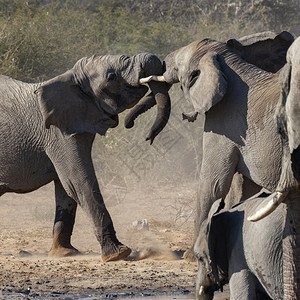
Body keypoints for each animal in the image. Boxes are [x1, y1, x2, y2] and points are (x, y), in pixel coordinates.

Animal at [0, 52, 170, 262]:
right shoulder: (57, 133)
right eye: (111, 77)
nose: (147, 137)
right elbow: (78, 181)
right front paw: (118, 254)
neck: (70, 78)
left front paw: (64, 253)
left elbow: (66, 189)